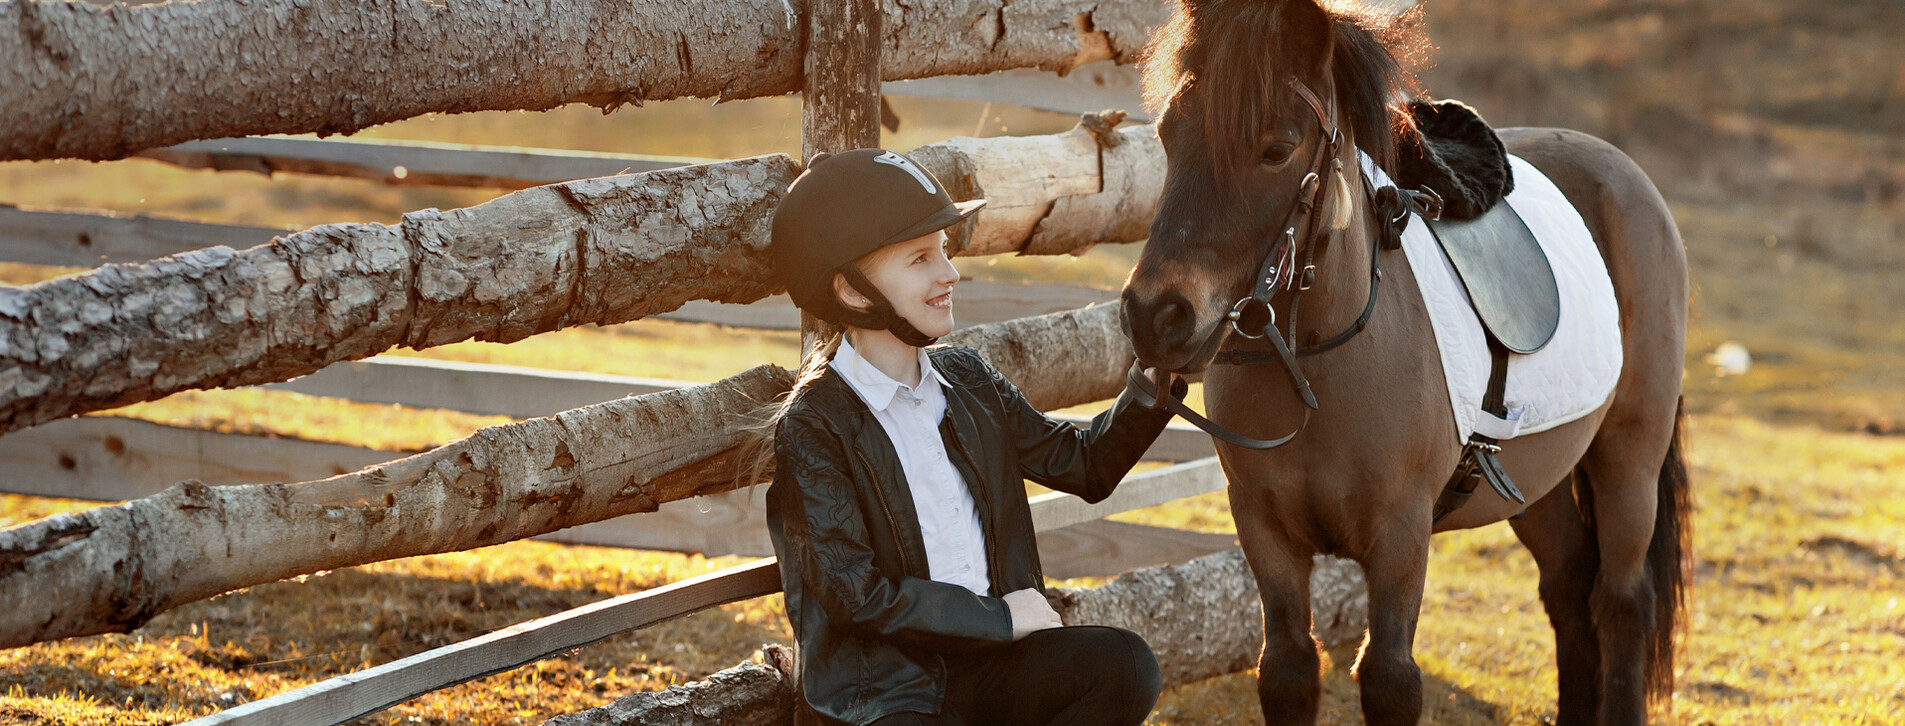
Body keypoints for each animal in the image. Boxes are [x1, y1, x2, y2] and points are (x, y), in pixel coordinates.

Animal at [1120, 1, 1691, 724]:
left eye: (1276, 149)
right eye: (1169, 134)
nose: (1154, 315)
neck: (1316, 368)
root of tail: (1623, 170)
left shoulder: (1399, 536)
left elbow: (1389, 678)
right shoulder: (1264, 530)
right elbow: (1286, 670)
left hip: (1629, 457)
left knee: (1620, 602)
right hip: (1537, 482)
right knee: (1568, 586)